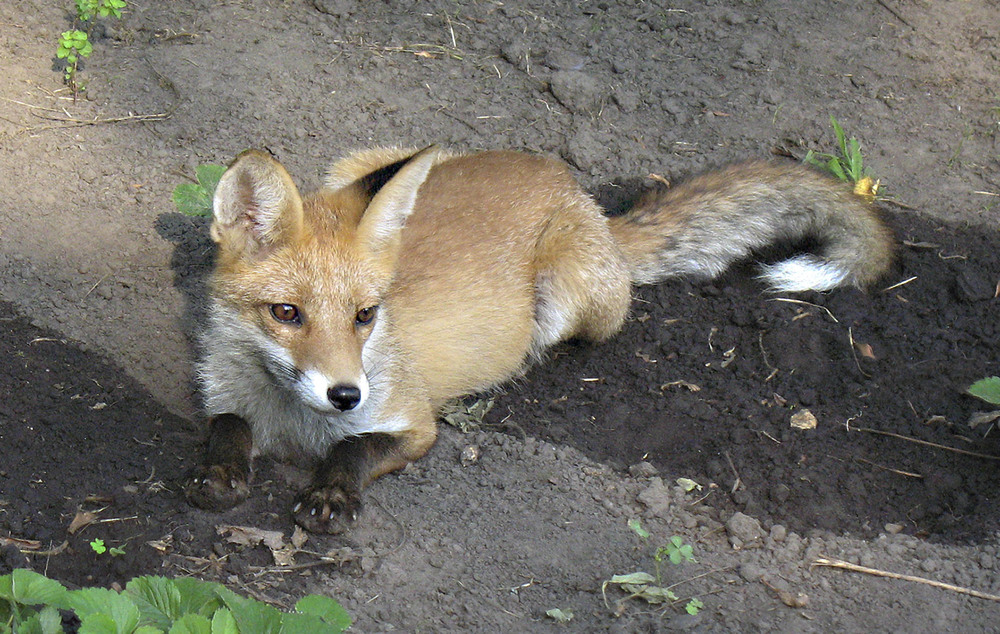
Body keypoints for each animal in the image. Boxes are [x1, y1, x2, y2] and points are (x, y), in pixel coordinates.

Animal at [184, 146, 896, 532]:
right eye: (287, 313)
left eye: (364, 316)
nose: (345, 395)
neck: (294, 421)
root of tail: (577, 193)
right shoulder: (222, 398)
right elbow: (228, 428)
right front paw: (219, 471)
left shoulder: (413, 423)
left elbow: (354, 451)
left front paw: (331, 493)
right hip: (352, 165)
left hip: (563, 297)